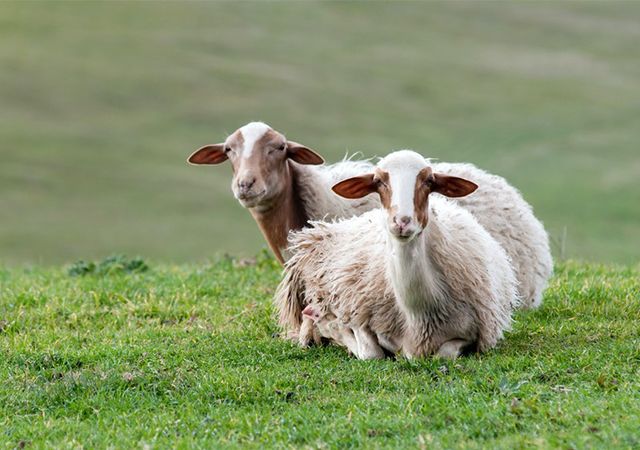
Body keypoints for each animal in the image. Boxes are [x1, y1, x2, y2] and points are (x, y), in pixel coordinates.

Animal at [276, 150, 520, 358]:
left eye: (429, 181)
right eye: (378, 181)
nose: (402, 221)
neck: (418, 314)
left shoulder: (472, 335)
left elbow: (444, 354)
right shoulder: (359, 315)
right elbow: (370, 352)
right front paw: (336, 332)